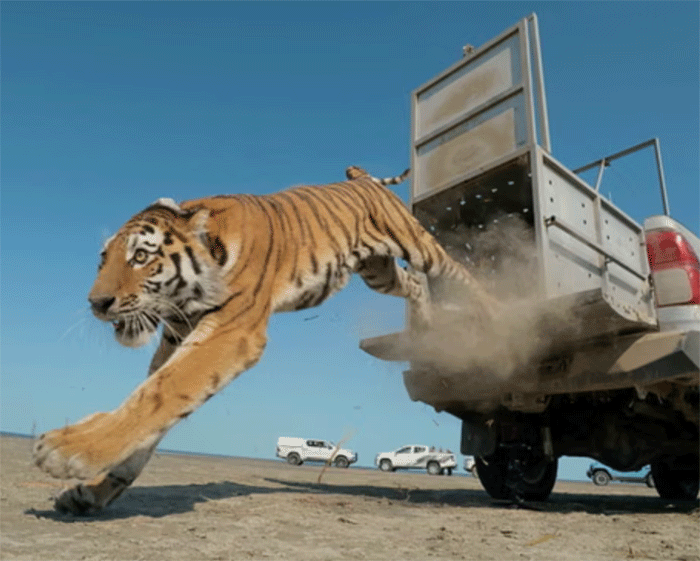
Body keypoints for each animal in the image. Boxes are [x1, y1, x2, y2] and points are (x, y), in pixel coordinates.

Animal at [32, 165, 499, 514]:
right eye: (102, 259)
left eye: (141, 257)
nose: (97, 303)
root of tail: (362, 178)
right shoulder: (176, 338)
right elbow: (150, 404)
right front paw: (92, 491)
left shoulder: (231, 332)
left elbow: (159, 393)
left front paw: (68, 449)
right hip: (377, 270)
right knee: (414, 284)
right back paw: (424, 328)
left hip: (414, 241)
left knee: (455, 272)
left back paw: (495, 314)